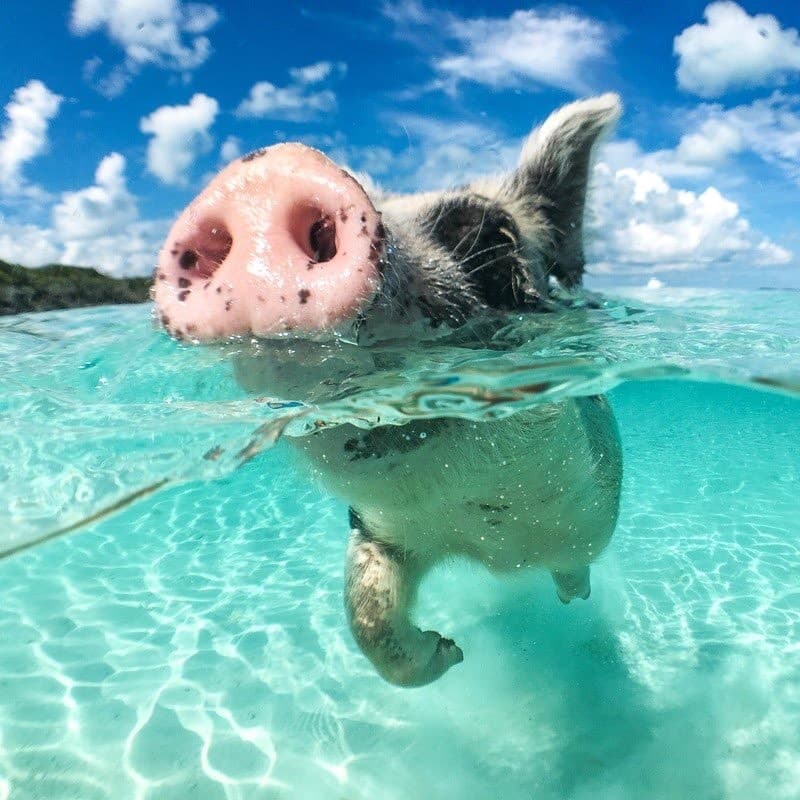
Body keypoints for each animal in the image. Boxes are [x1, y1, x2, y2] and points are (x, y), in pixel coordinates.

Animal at [152, 92, 624, 680]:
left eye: (492, 235)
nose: (263, 176)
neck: (485, 539)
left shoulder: (589, 513)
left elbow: (576, 562)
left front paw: (558, 602)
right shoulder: (380, 531)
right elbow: (367, 614)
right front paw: (451, 651)